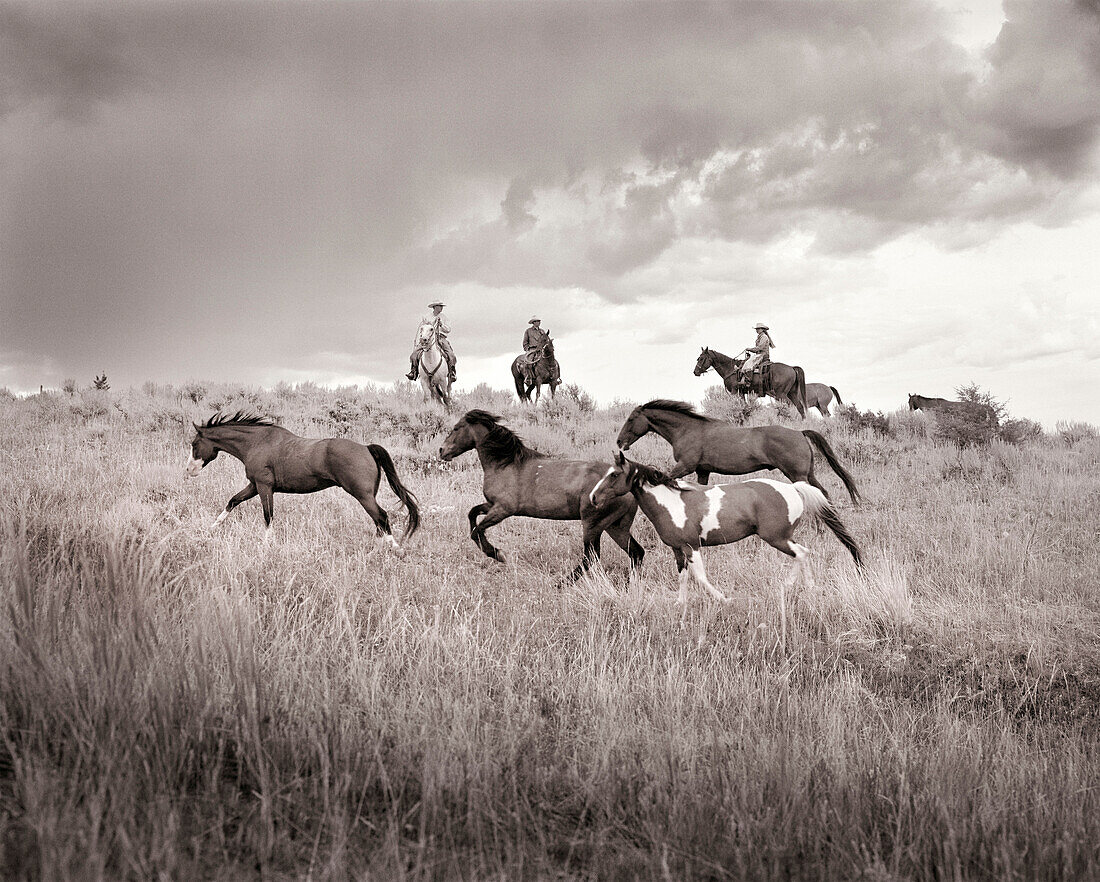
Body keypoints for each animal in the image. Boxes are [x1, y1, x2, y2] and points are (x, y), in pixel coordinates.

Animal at [187, 409, 418, 545]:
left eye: (194, 444)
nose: (189, 470)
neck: (257, 443)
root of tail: (366, 448)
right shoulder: (254, 485)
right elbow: (232, 501)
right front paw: (212, 528)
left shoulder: (264, 487)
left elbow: (268, 516)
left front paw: (267, 544)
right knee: (379, 523)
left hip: (364, 496)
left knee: (382, 518)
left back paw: (393, 550)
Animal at [437, 409, 642, 580]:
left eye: (456, 428)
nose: (441, 450)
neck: (505, 464)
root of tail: (630, 490)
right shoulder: (492, 505)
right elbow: (472, 514)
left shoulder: (503, 509)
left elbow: (477, 531)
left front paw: (498, 554)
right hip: (615, 526)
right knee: (636, 552)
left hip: (593, 524)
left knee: (591, 557)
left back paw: (562, 583)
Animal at [589, 450, 862, 602]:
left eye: (614, 475)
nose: (592, 498)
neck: (671, 502)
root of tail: (793, 488)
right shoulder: (677, 550)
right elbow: (682, 578)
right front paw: (680, 605)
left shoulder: (692, 546)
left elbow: (700, 577)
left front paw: (724, 599)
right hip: (782, 538)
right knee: (803, 554)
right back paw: (806, 589)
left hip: (777, 538)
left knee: (802, 553)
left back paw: (791, 587)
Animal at [620, 398, 858, 501]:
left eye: (631, 419)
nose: (619, 442)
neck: (688, 430)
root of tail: (800, 433)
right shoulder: (702, 471)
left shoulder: (685, 466)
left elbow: (667, 479)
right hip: (807, 473)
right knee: (823, 493)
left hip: (797, 475)